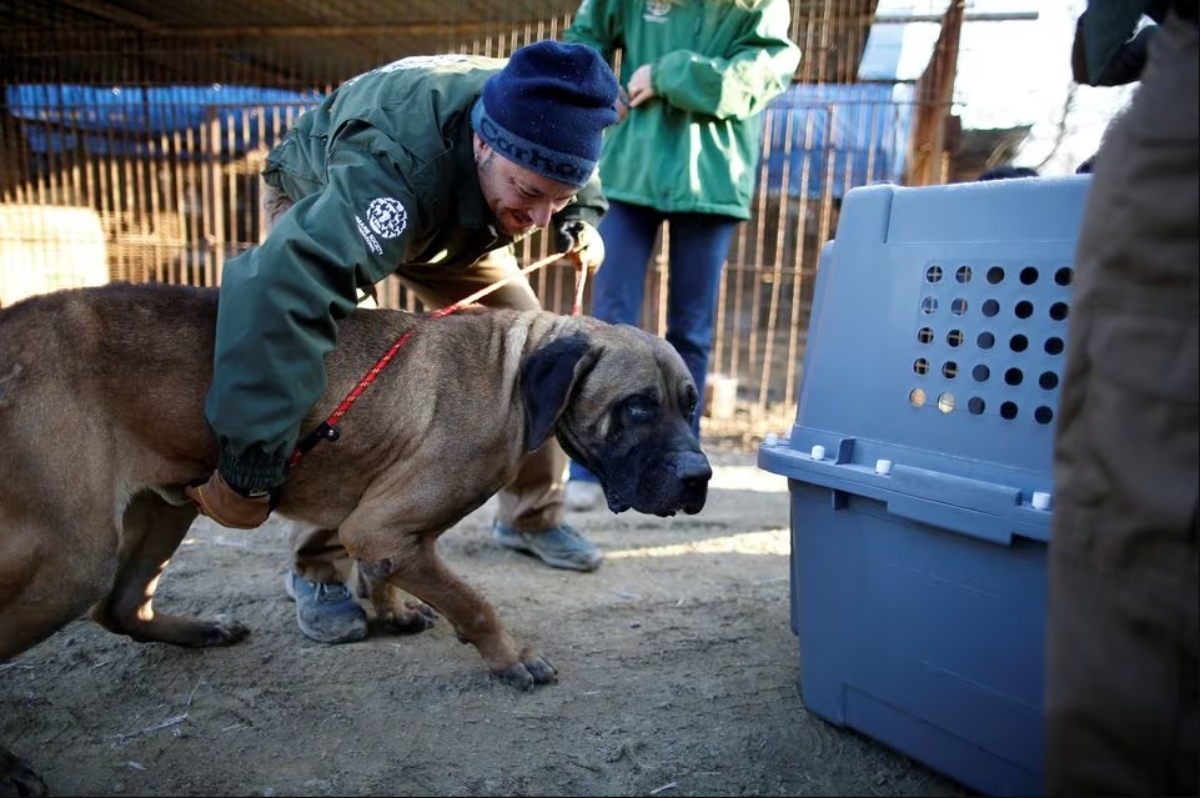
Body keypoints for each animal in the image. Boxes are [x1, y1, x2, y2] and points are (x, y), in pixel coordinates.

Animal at [0, 279, 710, 792]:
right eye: (637, 407)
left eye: (692, 402)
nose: (700, 477)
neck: (512, 375)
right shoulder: (381, 525)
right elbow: (476, 602)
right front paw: (510, 658)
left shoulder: (384, 530)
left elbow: (387, 573)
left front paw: (393, 612)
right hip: (73, 559)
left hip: (166, 509)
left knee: (121, 609)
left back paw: (201, 630)